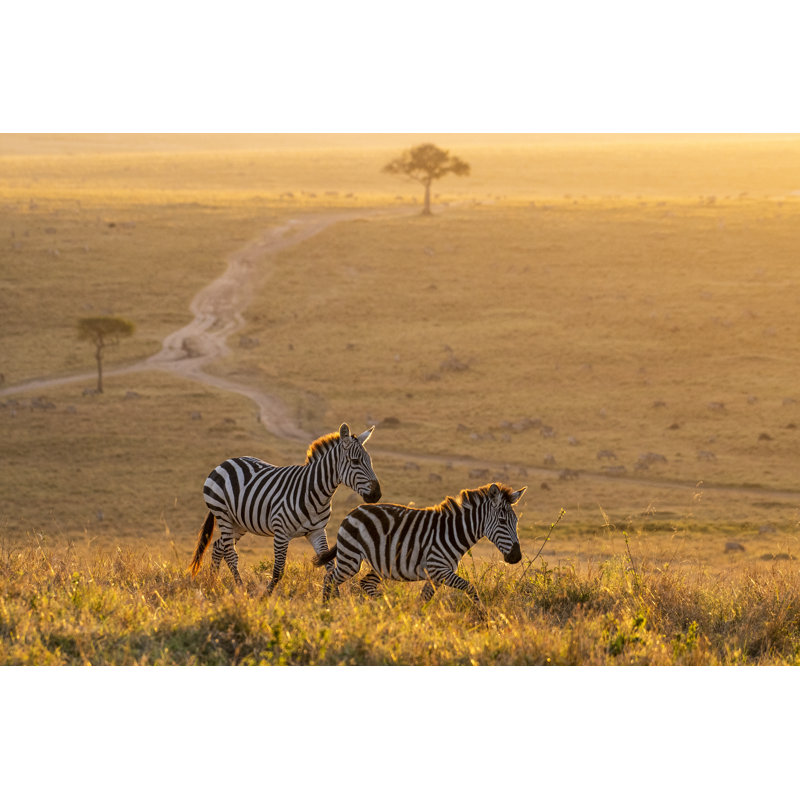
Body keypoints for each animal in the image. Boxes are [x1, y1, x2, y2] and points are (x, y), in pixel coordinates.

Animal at [189, 422, 381, 591]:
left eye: (370, 461)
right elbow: (278, 571)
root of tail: (226, 462)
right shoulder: (281, 533)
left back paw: (213, 583)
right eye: (355, 461)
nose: (377, 494)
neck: (315, 492)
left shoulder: (317, 531)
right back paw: (240, 589)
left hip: (239, 522)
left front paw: (333, 597)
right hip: (223, 515)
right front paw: (265, 597)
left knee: (218, 546)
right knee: (230, 553)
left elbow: (329, 566)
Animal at [314, 482, 526, 612]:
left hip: (380, 564)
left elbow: (424, 599)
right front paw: (484, 617)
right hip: (350, 558)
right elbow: (471, 588)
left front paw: (416, 619)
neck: (453, 532)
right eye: (502, 521)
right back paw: (326, 609)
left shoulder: (436, 576)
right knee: (329, 578)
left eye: (516, 522)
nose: (516, 557)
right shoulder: (439, 569)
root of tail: (353, 511)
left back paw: (387, 606)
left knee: (365, 583)